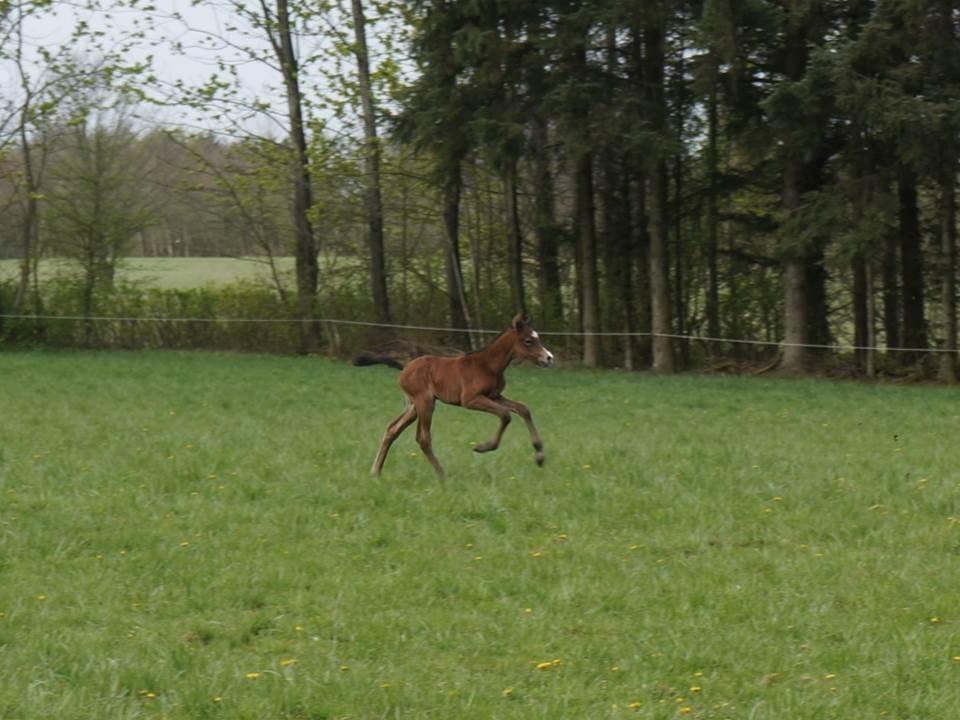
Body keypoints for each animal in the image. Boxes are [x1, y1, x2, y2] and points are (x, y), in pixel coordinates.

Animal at [358, 316, 556, 478]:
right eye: (528, 340)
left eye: (537, 337)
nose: (549, 358)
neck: (488, 365)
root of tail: (405, 368)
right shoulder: (470, 400)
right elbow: (505, 415)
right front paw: (483, 447)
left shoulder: (495, 396)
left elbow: (523, 408)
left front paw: (539, 455)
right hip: (425, 402)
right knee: (423, 439)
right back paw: (442, 476)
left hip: (413, 406)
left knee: (392, 429)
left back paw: (375, 472)